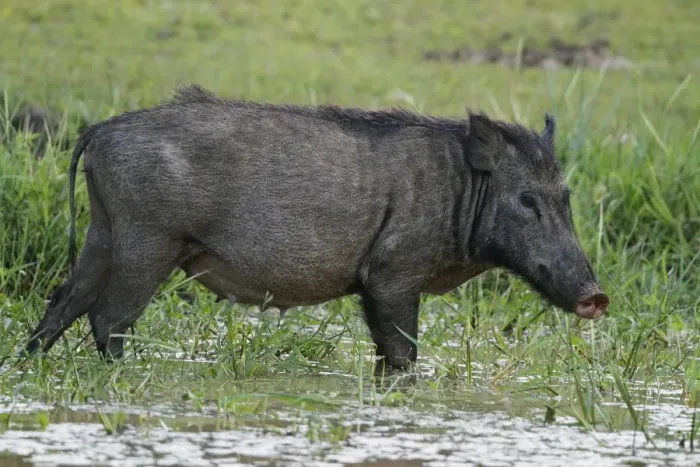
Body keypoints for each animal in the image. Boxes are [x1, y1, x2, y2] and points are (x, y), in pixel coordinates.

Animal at [25, 85, 609, 370]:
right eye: (527, 200)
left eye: (566, 197)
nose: (597, 297)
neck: (460, 192)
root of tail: (99, 130)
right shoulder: (392, 275)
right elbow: (402, 354)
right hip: (149, 241)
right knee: (108, 317)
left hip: (104, 233)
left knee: (62, 302)